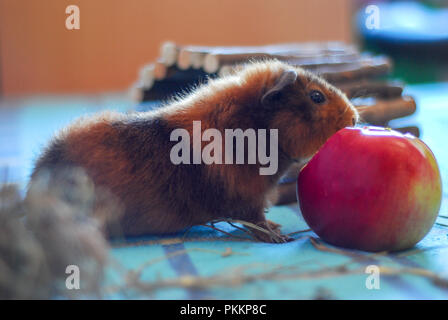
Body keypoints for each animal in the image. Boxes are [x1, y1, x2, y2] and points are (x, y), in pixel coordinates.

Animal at [29, 60, 358, 242]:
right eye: (316, 97)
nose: (354, 117)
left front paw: (278, 227)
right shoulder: (249, 197)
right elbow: (257, 221)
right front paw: (281, 238)